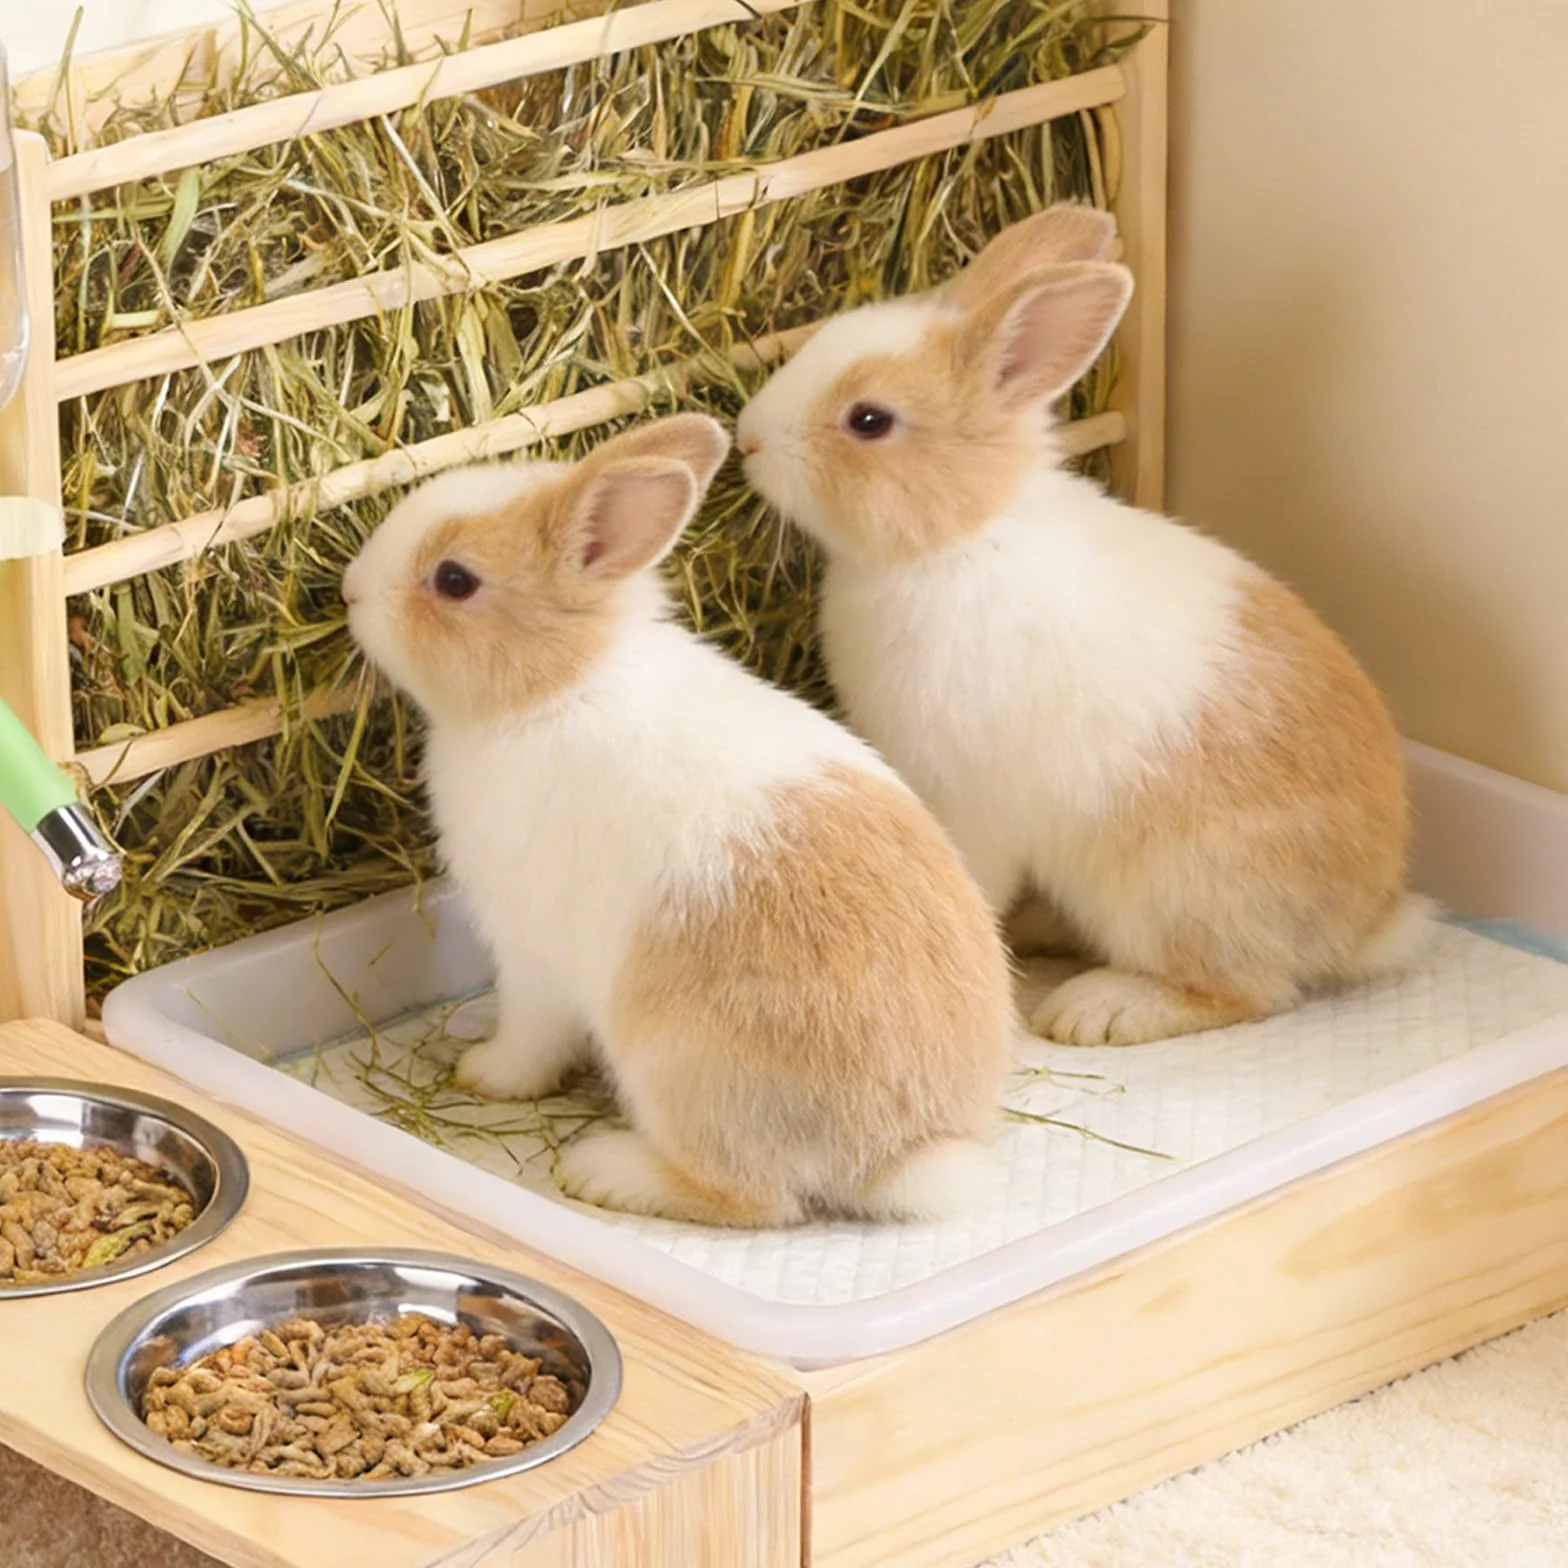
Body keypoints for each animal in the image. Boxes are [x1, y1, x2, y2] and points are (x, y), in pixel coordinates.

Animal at [342, 414, 1014, 1226]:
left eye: (454, 580)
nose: (349, 591)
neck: (561, 685)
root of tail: (903, 1154)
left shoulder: (530, 954)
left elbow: (532, 1034)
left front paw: (486, 1074)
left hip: (678, 1070)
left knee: (751, 1197)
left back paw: (604, 1172)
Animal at [735, 205, 1432, 1048]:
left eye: (869, 420)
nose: (746, 437)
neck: (961, 538)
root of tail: (1368, 922)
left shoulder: (966, 795)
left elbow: (973, 872)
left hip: (1171, 897)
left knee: (1246, 992)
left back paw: (1097, 1010)